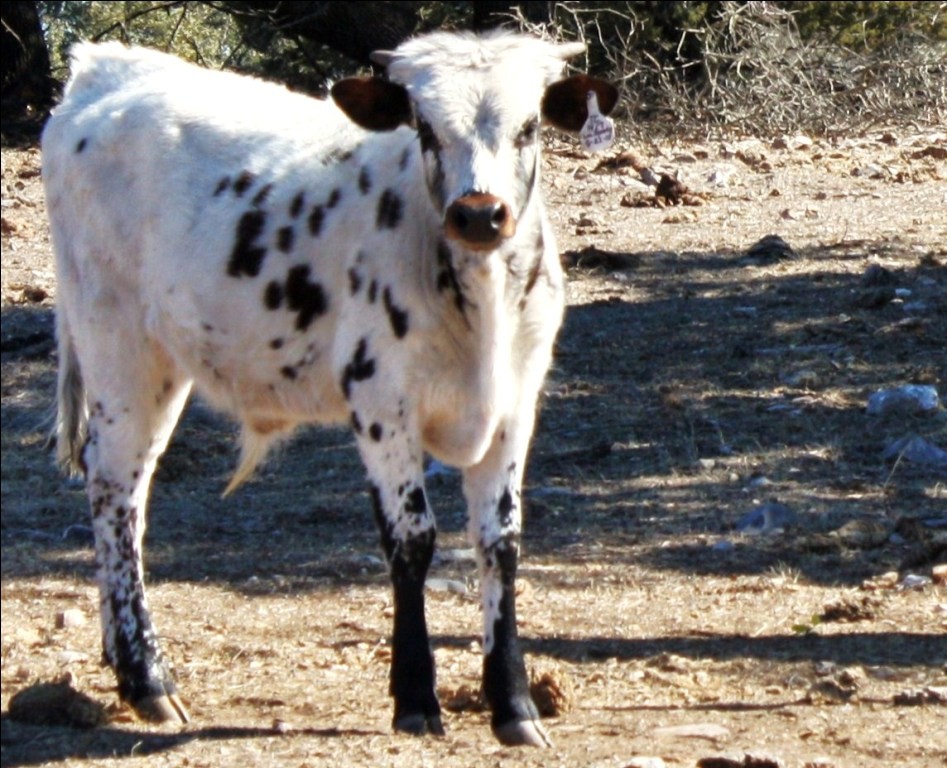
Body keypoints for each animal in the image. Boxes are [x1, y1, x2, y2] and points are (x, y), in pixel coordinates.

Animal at [42, 31, 618, 747]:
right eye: (424, 127)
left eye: (529, 126)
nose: (479, 214)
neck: (478, 302)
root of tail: (103, 69)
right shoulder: (381, 406)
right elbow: (412, 540)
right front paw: (416, 698)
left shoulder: (515, 405)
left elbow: (500, 543)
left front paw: (514, 705)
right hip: (118, 346)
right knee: (115, 493)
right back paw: (147, 680)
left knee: (132, 493)